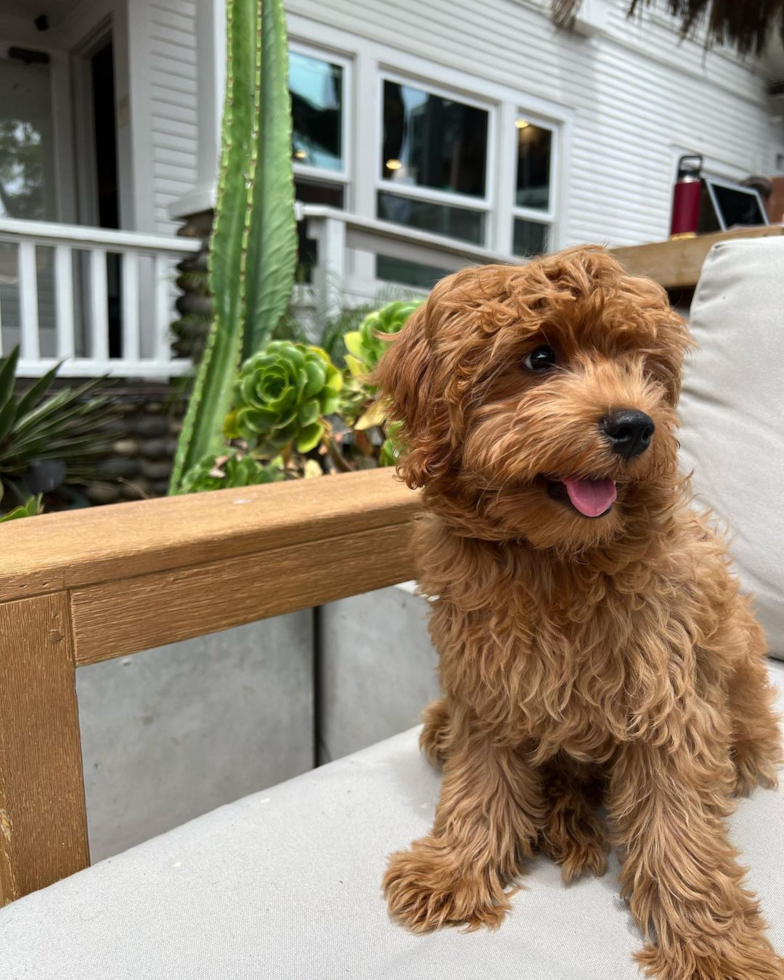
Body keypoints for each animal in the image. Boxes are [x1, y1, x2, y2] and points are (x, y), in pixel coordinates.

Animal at [374, 247, 784, 980]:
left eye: (643, 368)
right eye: (539, 358)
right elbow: (479, 780)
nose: (636, 426)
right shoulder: (492, 678)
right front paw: (457, 869)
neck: (555, 557)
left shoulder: (669, 693)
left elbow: (678, 826)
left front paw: (712, 947)